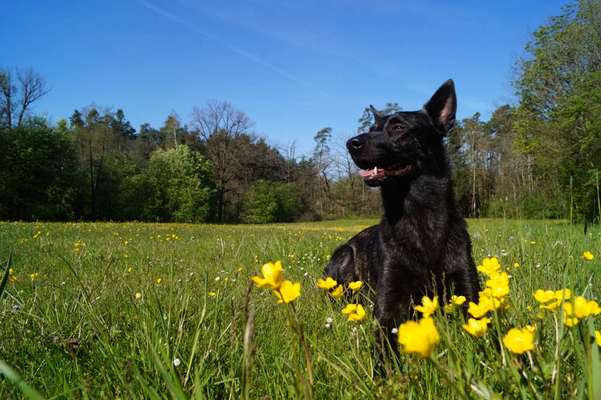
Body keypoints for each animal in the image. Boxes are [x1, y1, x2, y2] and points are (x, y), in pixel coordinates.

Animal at [322, 79, 480, 352]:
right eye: (371, 128)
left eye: (398, 127)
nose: (352, 143)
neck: (418, 212)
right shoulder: (389, 307)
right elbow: (384, 344)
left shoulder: (468, 294)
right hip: (344, 257)